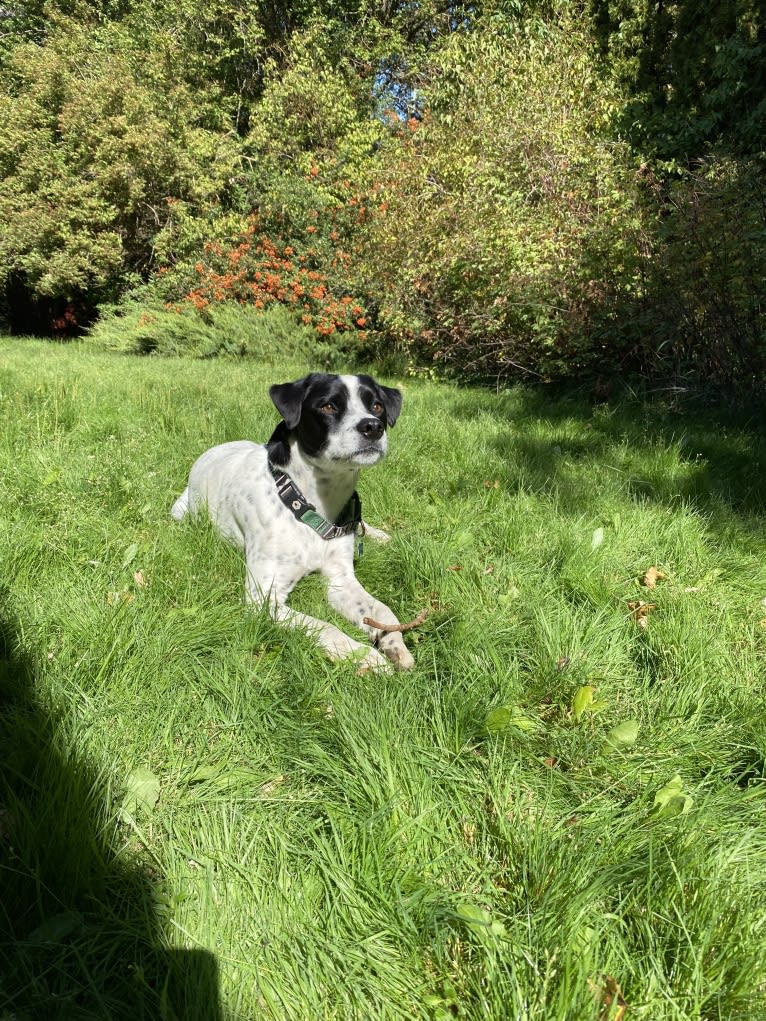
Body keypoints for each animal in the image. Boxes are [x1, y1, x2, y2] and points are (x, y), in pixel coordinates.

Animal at [171, 371, 416, 673]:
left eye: (377, 406)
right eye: (327, 406)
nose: (372, 427)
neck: (311, 505)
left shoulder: (340, 579)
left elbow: (381, 609)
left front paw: (394, 642)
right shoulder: (264, 599)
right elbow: (324, 626)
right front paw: (362, 655)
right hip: (181, 511)